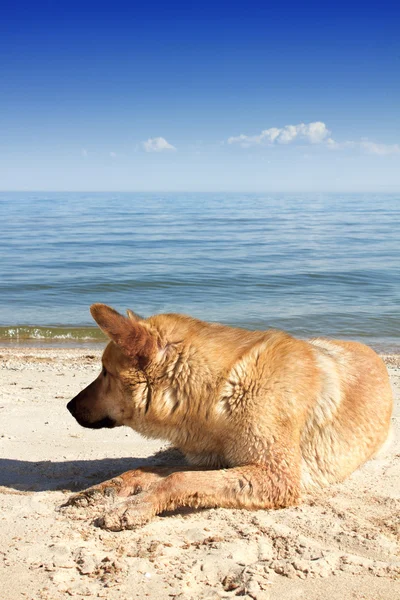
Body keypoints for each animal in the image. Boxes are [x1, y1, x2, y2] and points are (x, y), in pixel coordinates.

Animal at [66, 304, 394, 528]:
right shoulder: (220, 462)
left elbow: (177, 479)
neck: (221, 388)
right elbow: (150, 470)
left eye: (104, 373)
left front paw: (136, 505)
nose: (68, 406)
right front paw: (106, 489)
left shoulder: (276, 476)